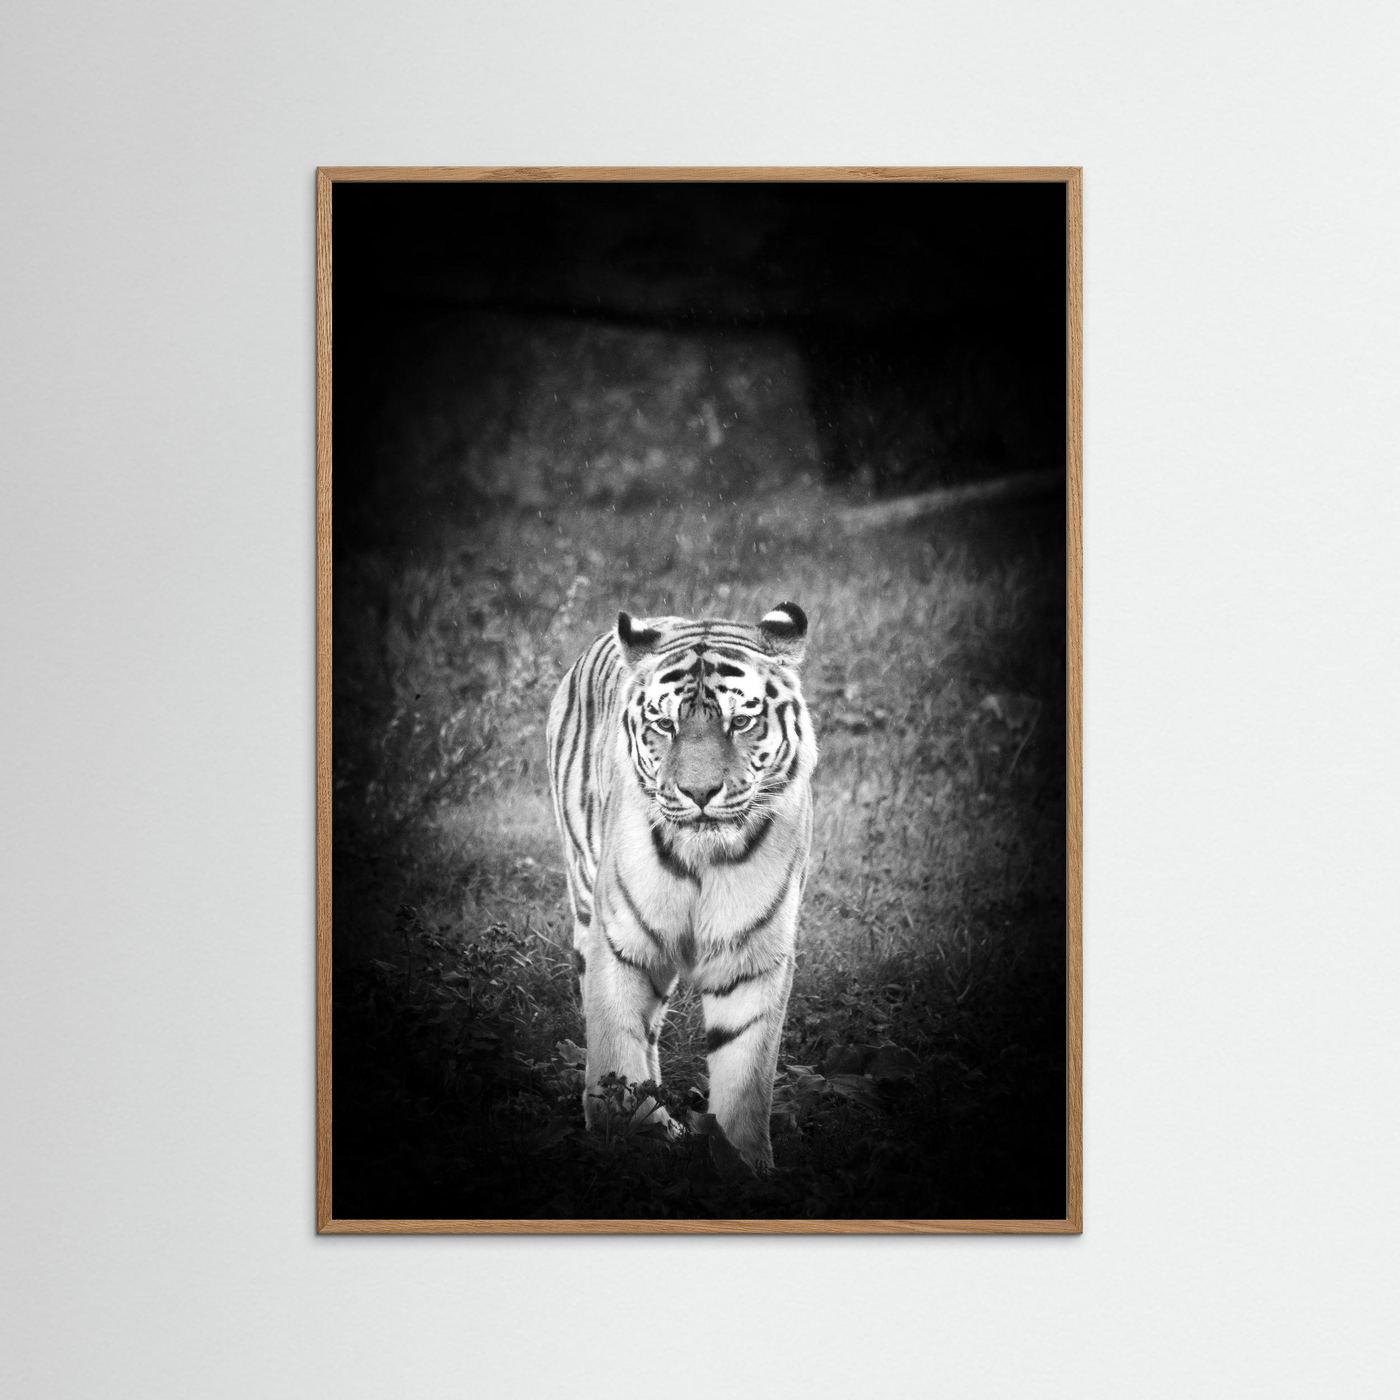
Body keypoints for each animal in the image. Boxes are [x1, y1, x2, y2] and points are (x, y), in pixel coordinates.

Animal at [545, 602, 817, 1172]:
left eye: (741, 721)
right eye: (665, 725)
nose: (699, 792)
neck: (702, 859)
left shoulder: (752, 957)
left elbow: (746, 1075)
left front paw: (744, 1166)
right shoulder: (620, 943)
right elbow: (616, 1048)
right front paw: (630, 1142)